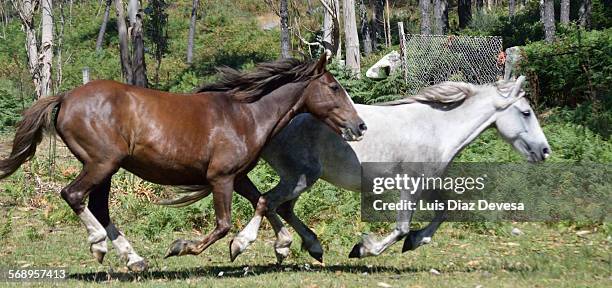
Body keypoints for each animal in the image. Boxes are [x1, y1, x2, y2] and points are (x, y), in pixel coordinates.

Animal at [0, 53, 364, 272]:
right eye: (334, 87)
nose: (359, 126)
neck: (245, 114)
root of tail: (65, 97)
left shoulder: (237, 175)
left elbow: (263, 201)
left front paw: (288, 245)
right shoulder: (221, 178)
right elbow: (223, 224)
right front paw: (189, 246)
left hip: (105, 169)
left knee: (99, 207)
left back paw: (134, 259)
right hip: (102, 163)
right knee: (73, 195)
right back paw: (99, 245)